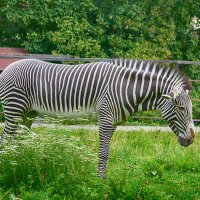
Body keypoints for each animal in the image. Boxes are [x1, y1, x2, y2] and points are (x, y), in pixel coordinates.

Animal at [0, 59, 195, 178]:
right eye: (181, 108)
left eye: (191, 109)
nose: (192, 139)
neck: (126, 88)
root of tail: (8, 67)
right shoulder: (106, 119)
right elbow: (103, 152)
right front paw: (100, 180)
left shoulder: (114, 122)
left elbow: (106, 152)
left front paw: (104, 178)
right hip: (14, 110)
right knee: (7, 140)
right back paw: (9, 167)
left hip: (27, 115)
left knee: (18, 141)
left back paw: (20, 164)